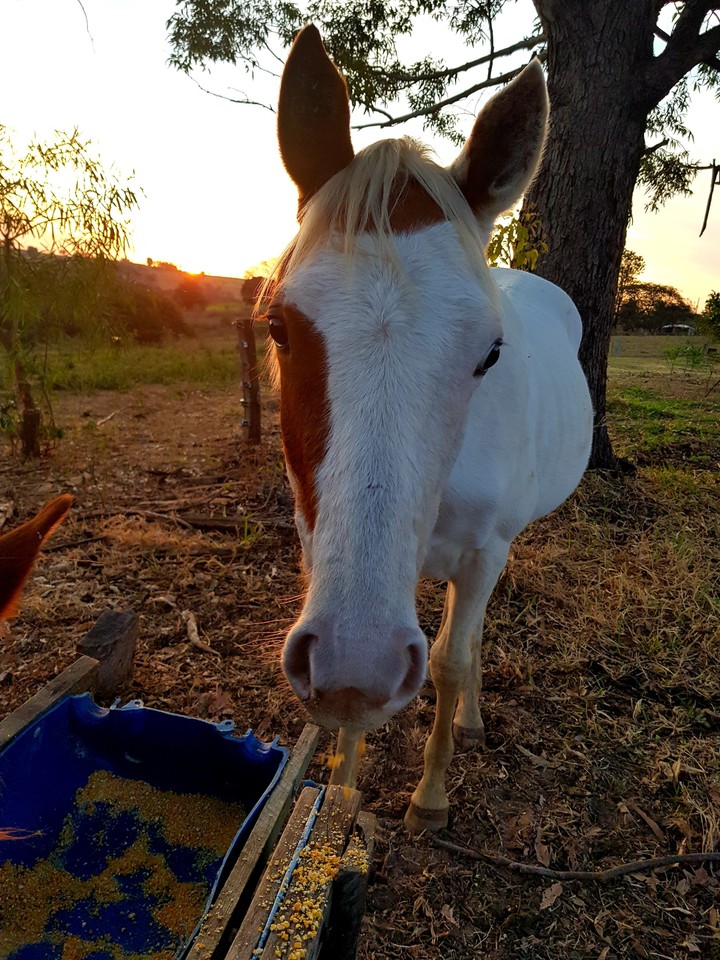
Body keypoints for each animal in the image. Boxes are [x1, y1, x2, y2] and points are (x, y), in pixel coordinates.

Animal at [266, 25, 593, 831]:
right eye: (278, 328)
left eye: (490, 352)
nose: (357, 667)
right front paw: (343, 793)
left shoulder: (482, 553)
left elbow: (447, 659)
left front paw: (431, 795)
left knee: (468, 637)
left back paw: (468, 718)